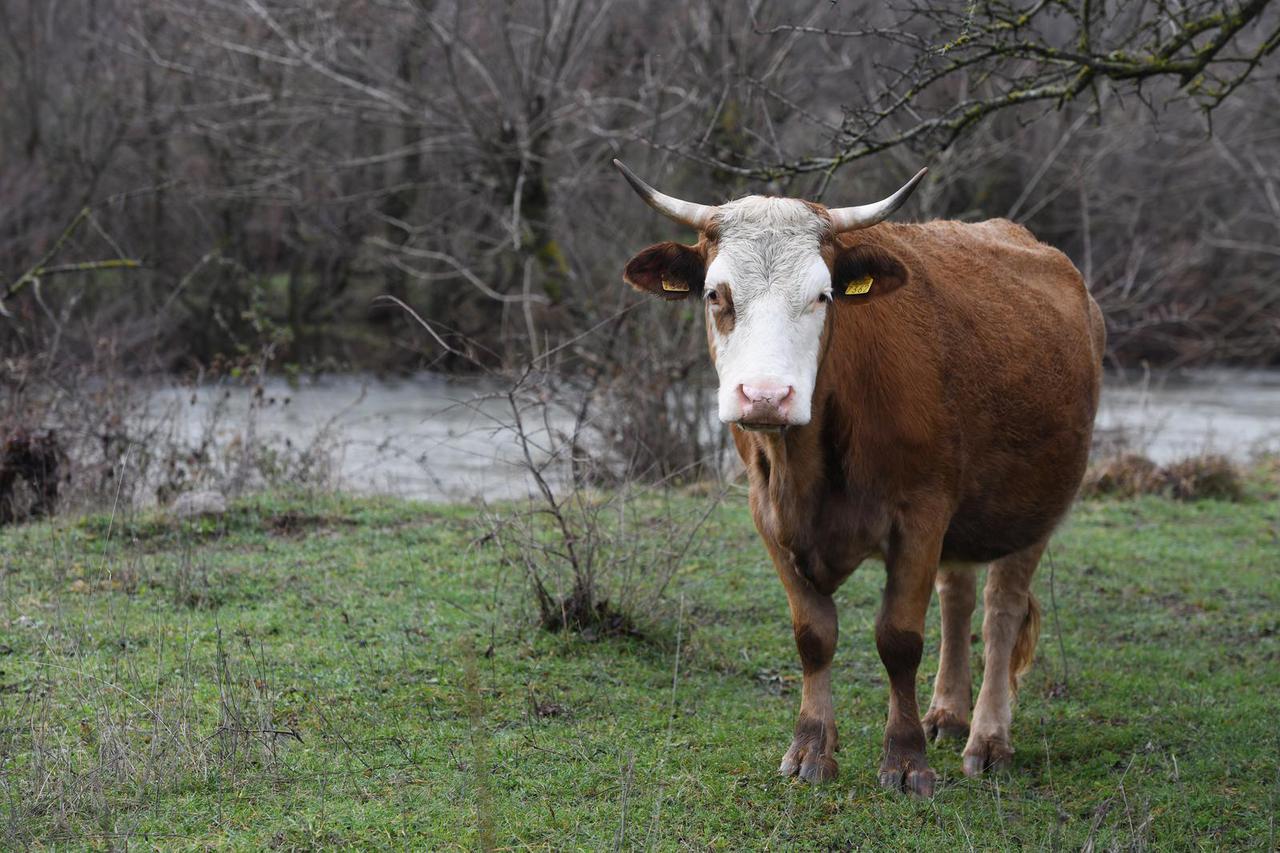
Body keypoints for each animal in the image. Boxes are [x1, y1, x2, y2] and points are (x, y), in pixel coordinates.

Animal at [614, 159, 1105, 799]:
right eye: (715, 294)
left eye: (823, 295)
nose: (765, 396)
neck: (805, 470)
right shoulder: (767, 515)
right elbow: (813, 634)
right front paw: (810, 749)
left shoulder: (921, 513)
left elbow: (899, 638)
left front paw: (906, 761)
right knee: (958, 596)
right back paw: (947, 713)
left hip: (1032, 508)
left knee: (1001, 613)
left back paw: (988, 740)